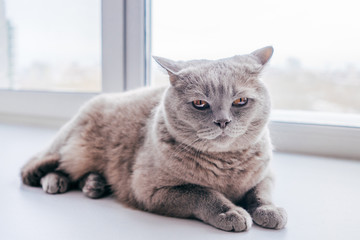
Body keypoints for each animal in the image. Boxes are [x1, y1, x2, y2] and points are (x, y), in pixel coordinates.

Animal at [21, 46, 286, 232]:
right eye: (200, 103)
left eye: (240, 101)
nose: (223, 121)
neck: (226, 165)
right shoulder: (151, 190)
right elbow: (202, 193)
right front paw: (230, 213)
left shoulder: (267, 175)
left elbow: (260, 193)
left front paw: (271, 211)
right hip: (73, 150)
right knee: (39, 165)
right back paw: (56, 181)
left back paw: (93, 184)